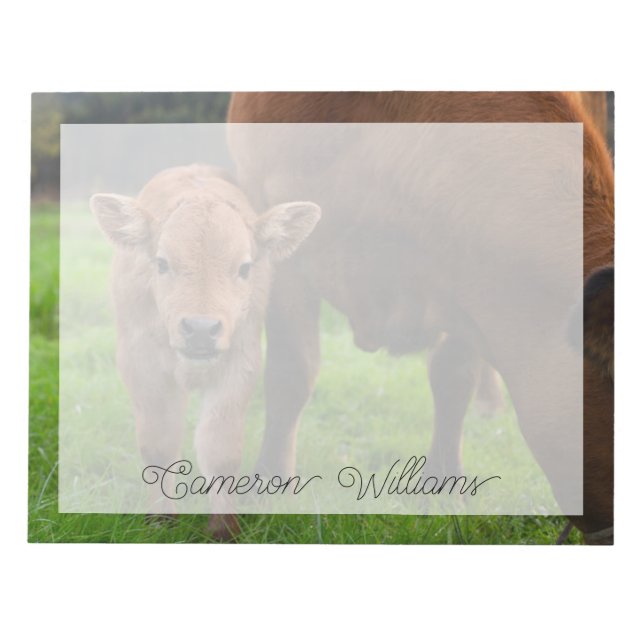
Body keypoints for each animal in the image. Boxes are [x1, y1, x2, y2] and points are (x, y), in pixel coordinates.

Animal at [90, 164, 320, 540]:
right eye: (162, 263)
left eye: (244, 268)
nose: (200, 328)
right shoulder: (141, 364)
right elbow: (159, 443)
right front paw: (160, 519)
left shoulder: (240, 363)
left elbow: (220, 449)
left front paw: (224, 528)